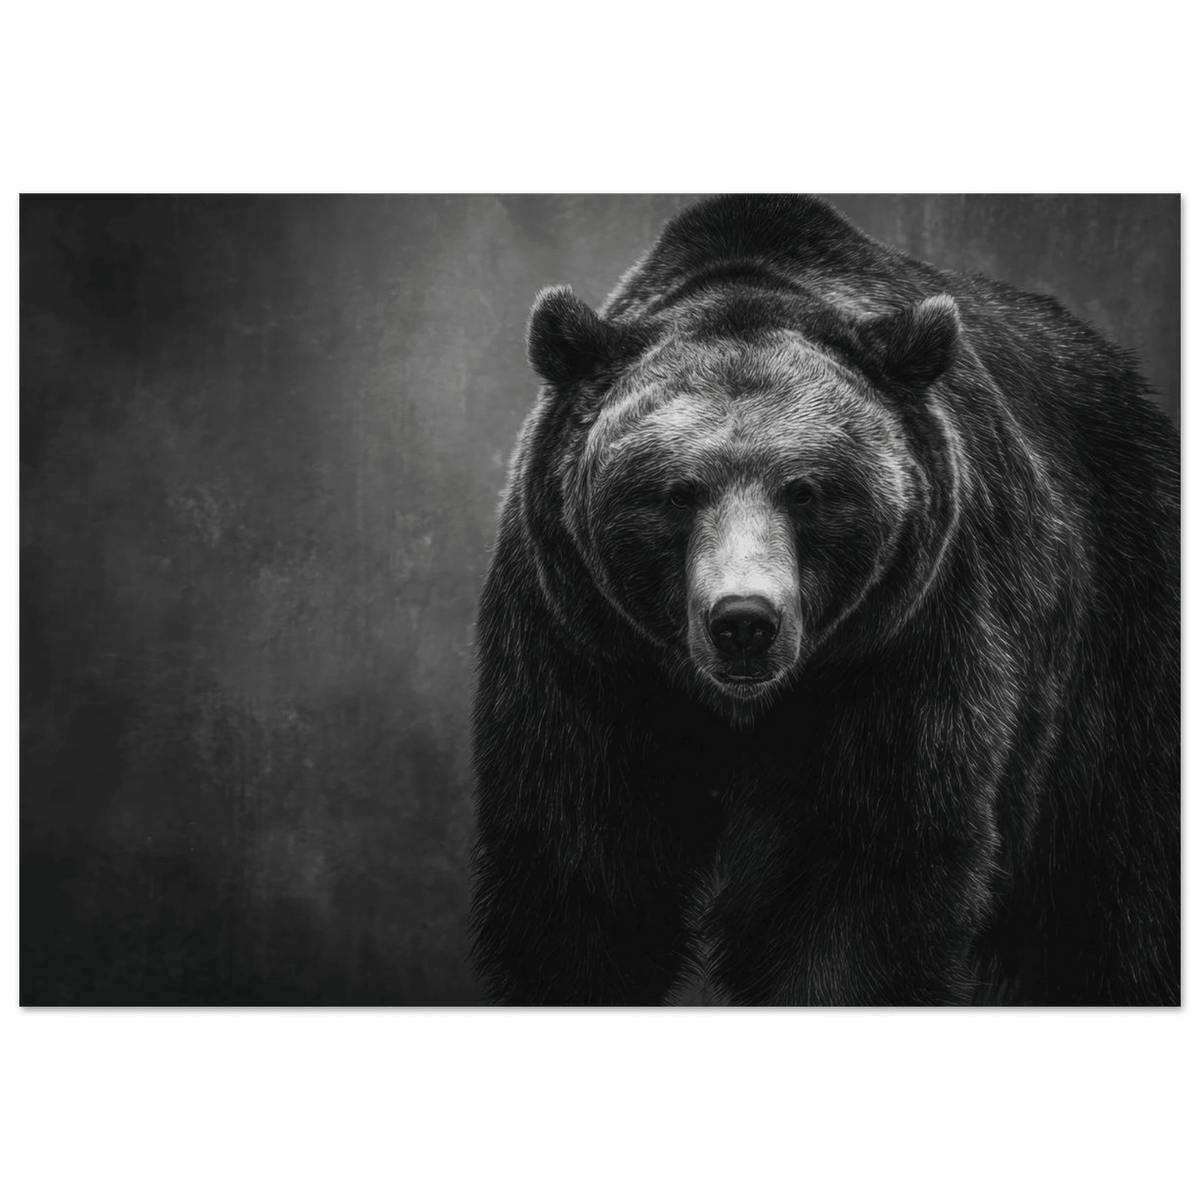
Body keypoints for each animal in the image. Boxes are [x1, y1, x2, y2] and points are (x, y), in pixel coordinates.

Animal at [469, 194, 1181, 1007]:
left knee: (1115, 887)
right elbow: (581, 874)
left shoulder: (905, 645)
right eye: (677, 492)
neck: (740, 710)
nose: (744, 622)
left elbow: (859, 884)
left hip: (1118, 634)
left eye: (806, 489)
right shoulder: (583, 649)